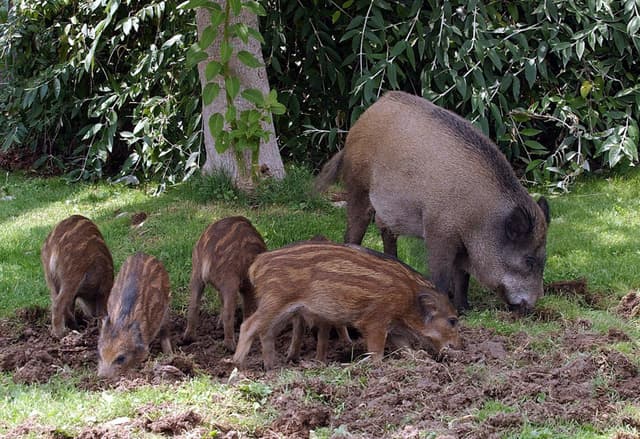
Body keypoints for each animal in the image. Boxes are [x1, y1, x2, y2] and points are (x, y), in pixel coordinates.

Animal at [182, 216, 267, 351]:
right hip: (229, 279)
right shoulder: (246, 286)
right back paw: (230, 346)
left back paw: (188, 339)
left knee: (193, 305)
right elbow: (246, 308)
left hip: (196, 273)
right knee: (228, 311)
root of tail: (207, 252)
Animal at [233, 241, 461, 370]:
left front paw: (421, 360)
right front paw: (378, 366)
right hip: (276, 300)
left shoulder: (393, 327)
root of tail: (257, 264)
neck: (409, 300)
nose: (458, 347)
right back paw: (238, 365)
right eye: (452, 320)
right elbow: (377, 351)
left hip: (283, 309)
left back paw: (272, 367)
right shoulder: (375, 320)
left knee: (266, 332)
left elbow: (405, 346)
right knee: (249, 325)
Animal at [314, 91, 550, 312]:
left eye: (544, 259)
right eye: (528, 260)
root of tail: (365, 116)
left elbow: (462, 276)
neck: (479, 218)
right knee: (354, 229)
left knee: (387, 232)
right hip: (358, 186)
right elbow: (441, 274)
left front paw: (464, 308)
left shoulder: (463, 246)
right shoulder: (439, 231)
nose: (532, 306)